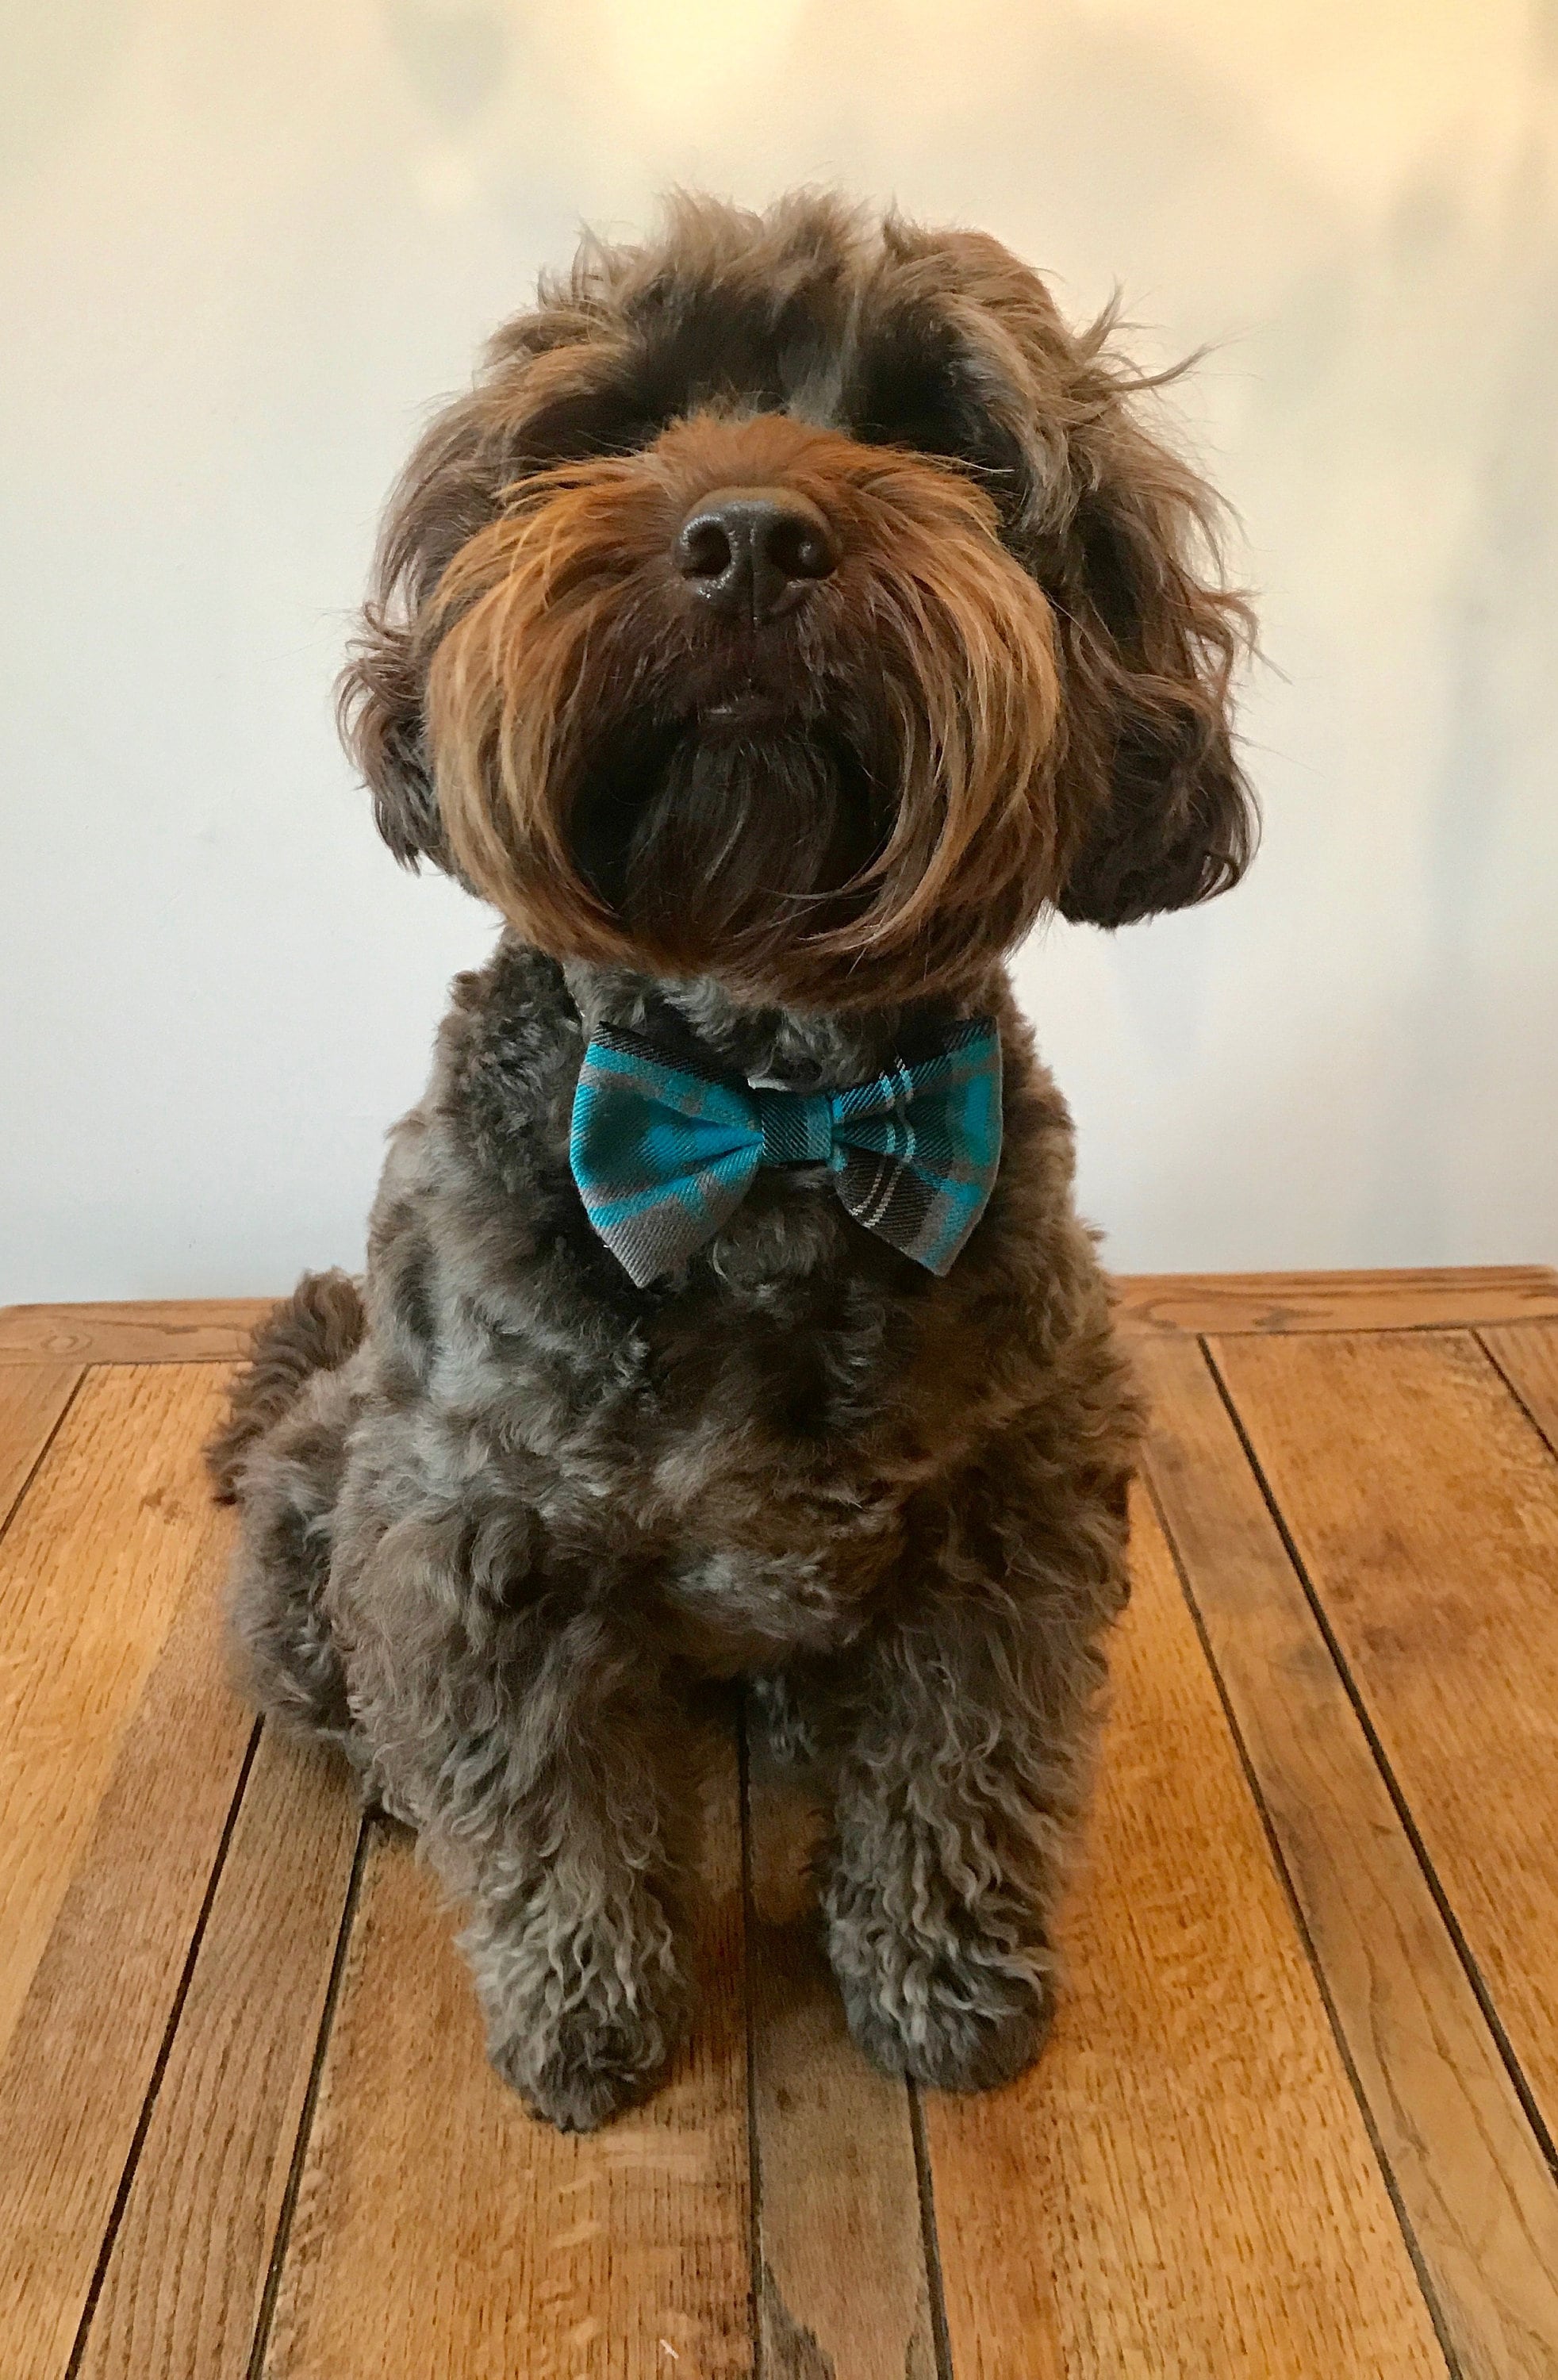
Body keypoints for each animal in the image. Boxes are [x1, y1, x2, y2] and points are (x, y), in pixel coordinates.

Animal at [209, 192, 1254, 2133]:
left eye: (938, 424)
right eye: (621, 421)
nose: (751, 540)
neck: (764, 1120)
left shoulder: (1009, 1508)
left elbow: (959, 1773)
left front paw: (942, 1984)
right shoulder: (478, 1536)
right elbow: (544, 1824)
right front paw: (582, 2026)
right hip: (326, 1491)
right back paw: (392, 1774)